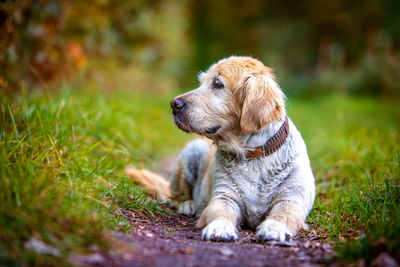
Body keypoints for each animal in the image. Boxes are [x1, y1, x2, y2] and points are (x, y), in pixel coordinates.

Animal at [125, 56, 316, 243]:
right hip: (194, 150)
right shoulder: (224, 196)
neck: (252, 155)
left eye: (218, 83)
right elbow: (220, 211)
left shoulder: (291, 199)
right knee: (178, 196)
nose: (174, 104)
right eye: (201, 82)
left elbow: (284, 214)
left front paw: (274, 229)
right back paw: (188, 205)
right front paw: (220, 228)